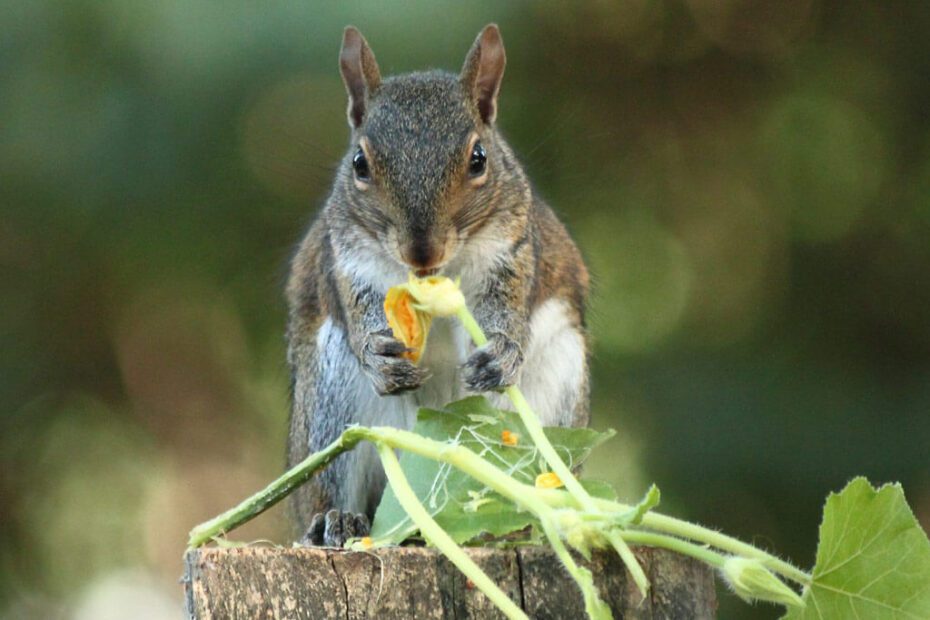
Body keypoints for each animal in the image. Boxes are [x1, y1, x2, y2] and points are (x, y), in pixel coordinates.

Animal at [284, 25, 588, 548]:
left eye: (479, 159)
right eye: (360, 163)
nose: (421, 252)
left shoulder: (513, 252)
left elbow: (507, 310)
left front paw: (501, 352)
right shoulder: (346, 263)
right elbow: (360, 314)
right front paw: (379, 356)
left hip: (562, 378)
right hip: (330, 401)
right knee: (332, 481)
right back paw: (337, 521)